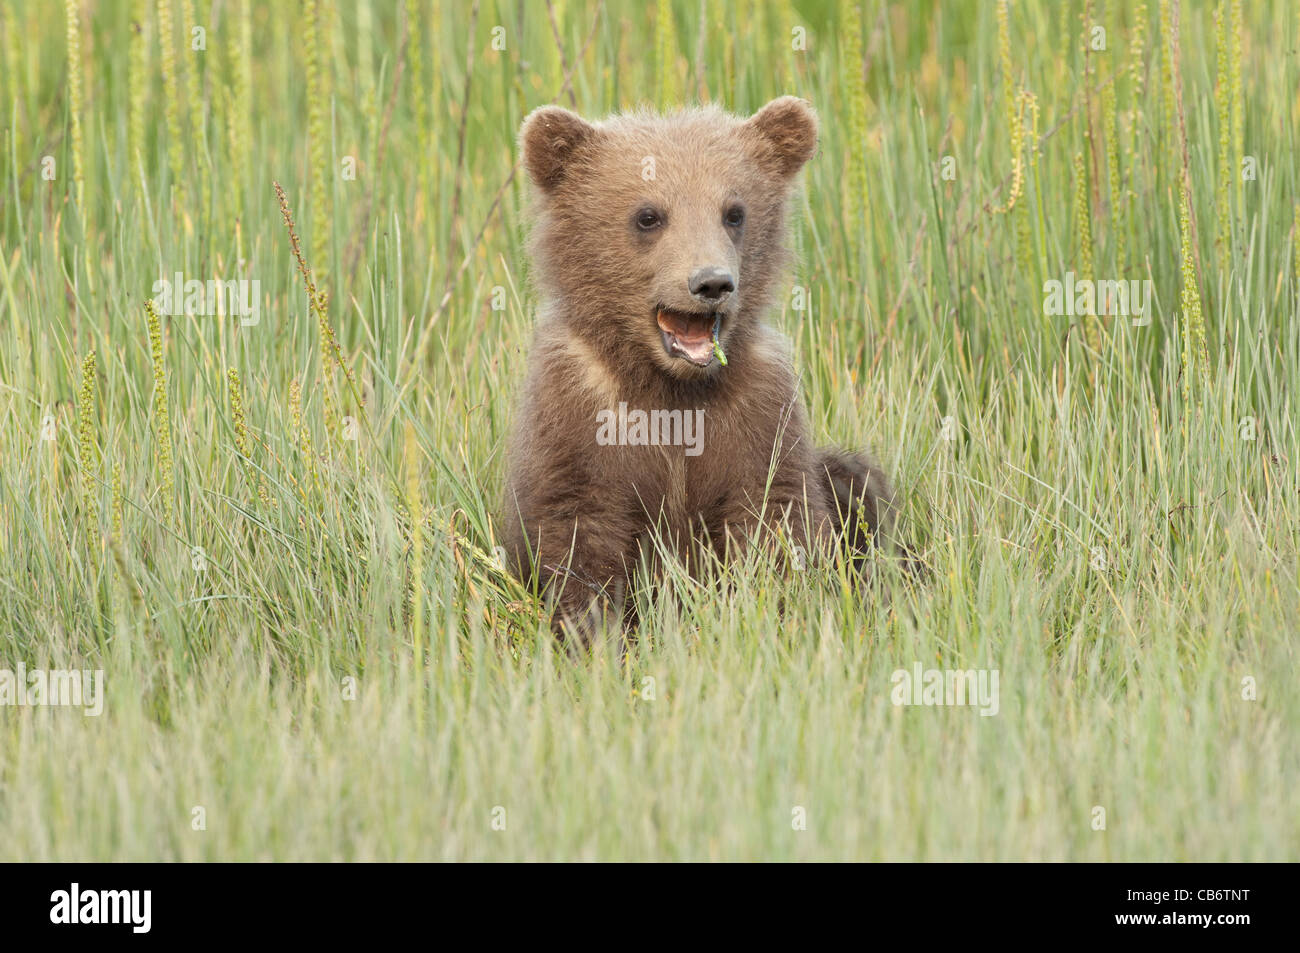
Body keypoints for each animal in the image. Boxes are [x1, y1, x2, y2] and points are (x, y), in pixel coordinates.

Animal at [502, 96, 903, 648]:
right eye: (648, 215)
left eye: (734, 212)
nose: (711, 282)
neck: (671, 385)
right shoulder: (579, 411)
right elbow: (578, 532)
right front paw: (593, 632)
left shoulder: (758, 410)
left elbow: (775, 519)